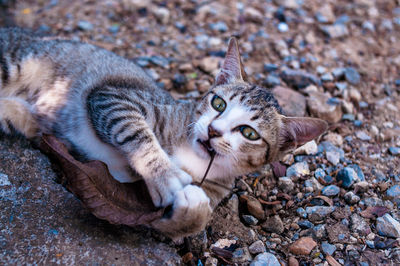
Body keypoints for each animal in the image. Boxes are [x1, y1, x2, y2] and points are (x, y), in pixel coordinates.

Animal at [0, 28, 328, 240]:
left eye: (249, 132)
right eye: (218, 103)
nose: (213, 130)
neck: (193, 157)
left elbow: (183, 223)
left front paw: (193, 209)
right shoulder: (113, 97)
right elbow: (137, 133)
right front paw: (165, 175)